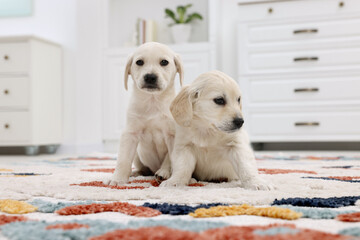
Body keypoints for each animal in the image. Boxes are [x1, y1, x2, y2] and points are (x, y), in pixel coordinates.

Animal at [103, 42, 183, 186]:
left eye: (164, 62)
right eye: (139, 62)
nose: (150, 77)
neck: (152, 101)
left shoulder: (173, 135)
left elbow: (172, 159)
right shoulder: (130, 133)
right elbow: (123, 159)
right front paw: (117, 178)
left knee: (165, 163)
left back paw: (163, 173)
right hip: (137, 154)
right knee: (144, 169)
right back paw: (136, 173)